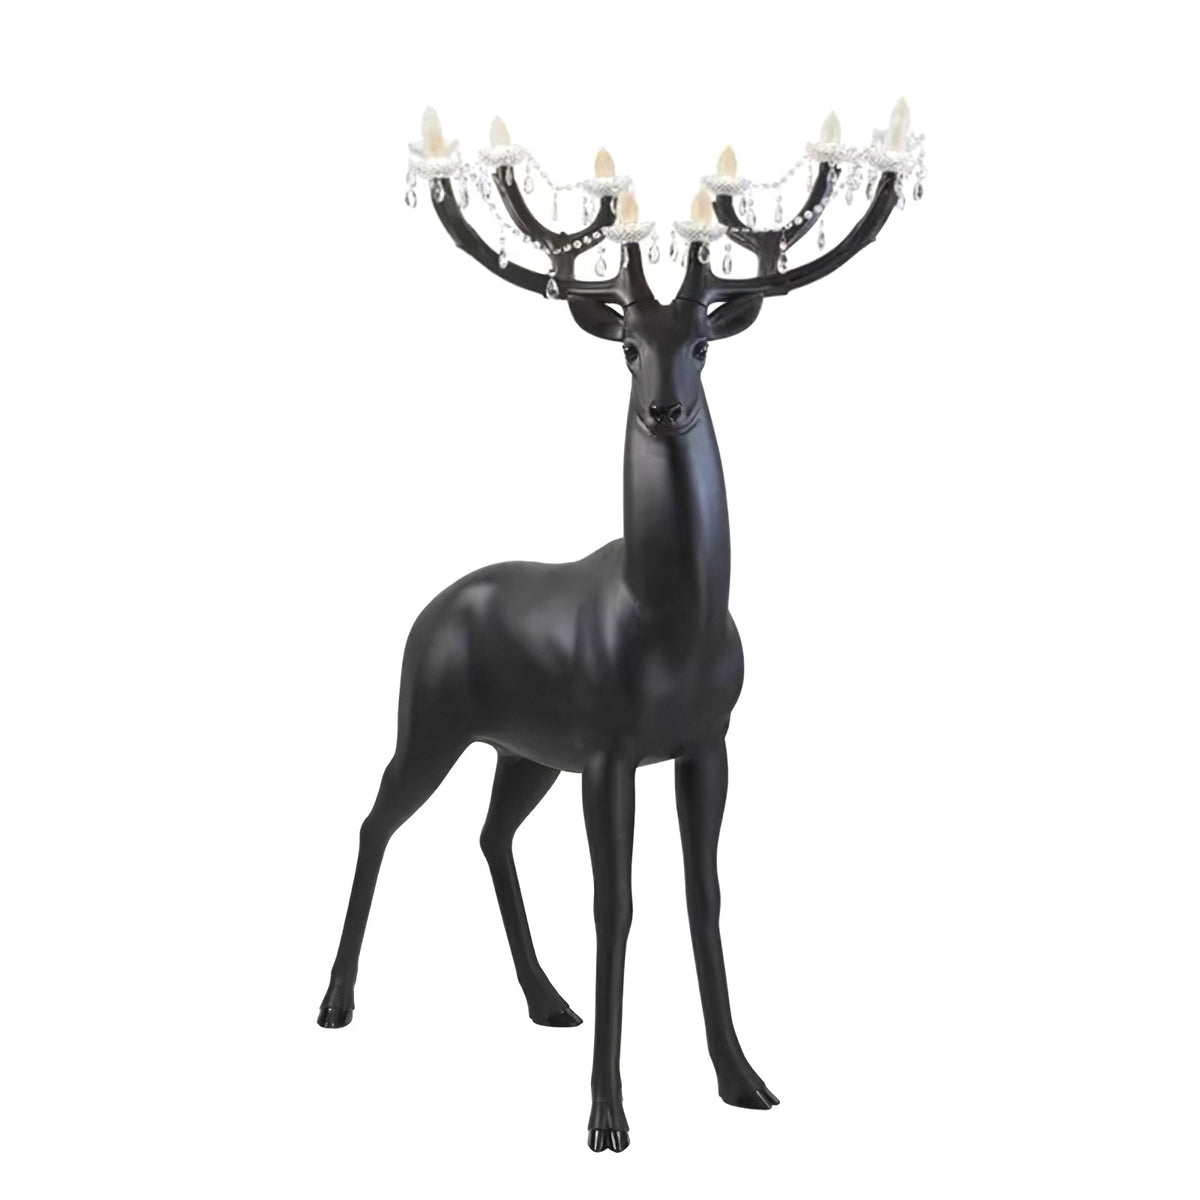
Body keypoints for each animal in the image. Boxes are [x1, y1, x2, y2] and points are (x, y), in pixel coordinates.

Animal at [318, 109, 908, 1153]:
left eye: (704, 345)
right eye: (628, 345)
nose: (665, 408)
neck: (670, 622)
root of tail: (431, 607)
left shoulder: (707, 741)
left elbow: (703, 896)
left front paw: (744, 1079)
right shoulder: (608, 750)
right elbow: (615, 904)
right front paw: (607, 1117)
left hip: (523, 752)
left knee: (488, 834)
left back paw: (547, 1000)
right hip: (428, 722)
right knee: (375, 820)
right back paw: (336, 1001)